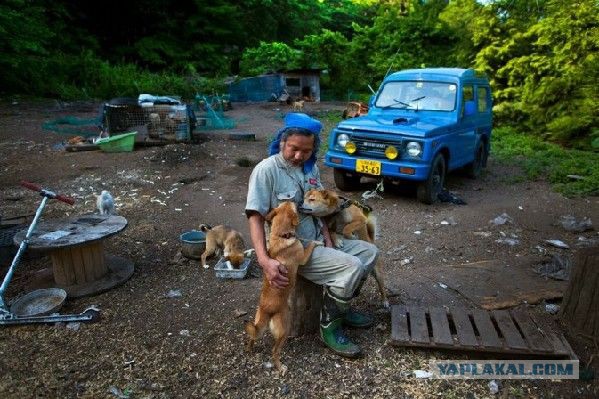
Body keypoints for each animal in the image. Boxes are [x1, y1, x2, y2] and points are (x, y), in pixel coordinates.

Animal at [244, 203, 318, 376]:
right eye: (292, 206)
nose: (296, 202)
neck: (280, 235)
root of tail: (267, 309)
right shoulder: (303, 257)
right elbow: (310, 246)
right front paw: (317, 242)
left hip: (258, 323)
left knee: (253, 336)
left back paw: (250, 349)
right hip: (284, 329)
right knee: (274, 351)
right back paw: (280, 367)